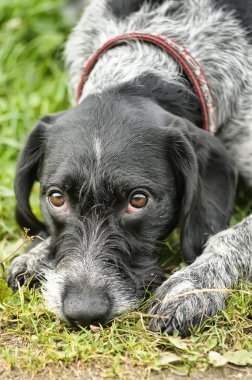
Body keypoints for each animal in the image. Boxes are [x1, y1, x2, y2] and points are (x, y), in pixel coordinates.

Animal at [7, 0, 252, 334]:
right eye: (57, 198)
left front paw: (193, 285)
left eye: (138, 200)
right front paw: (37, 254)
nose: (84, 312)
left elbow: (231, 236)